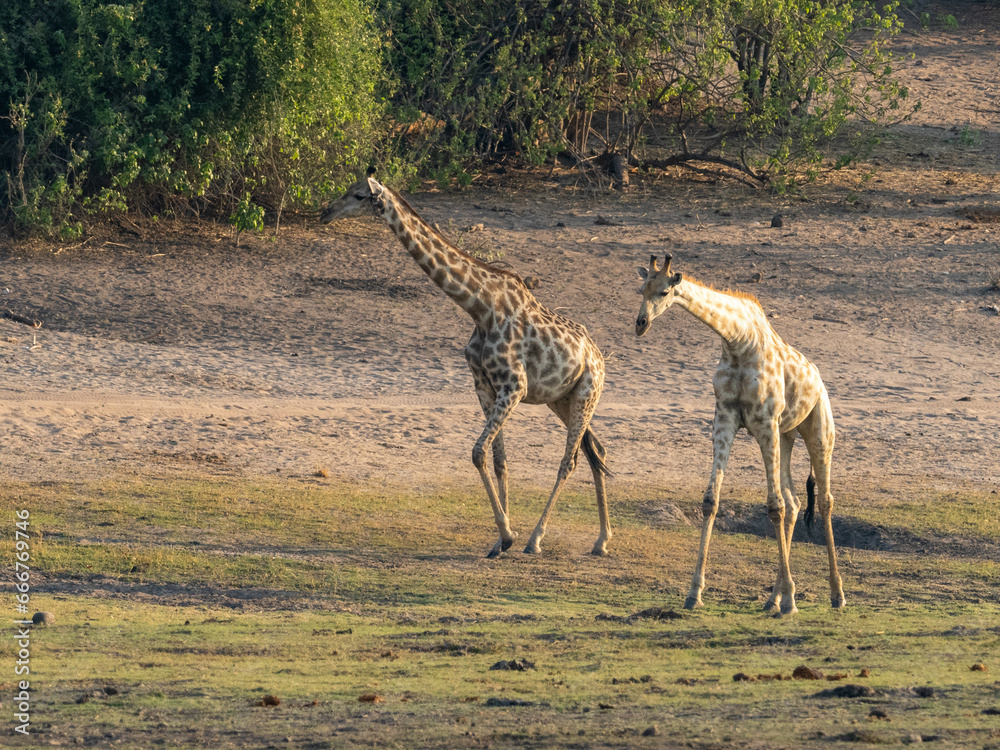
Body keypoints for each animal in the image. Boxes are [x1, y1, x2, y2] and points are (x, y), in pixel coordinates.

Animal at [321, 172, 612, 558]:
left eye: (357, 195)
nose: (324, 212)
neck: (481, 307)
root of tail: (598, 356)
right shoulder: (485, 386)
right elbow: (498, 459)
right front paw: (500, 540)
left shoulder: (514, 387)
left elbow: (477, 452)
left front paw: (509, 535)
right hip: (561, 399)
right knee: (596, 451)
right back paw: (602, 540)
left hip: (586, 394)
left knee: (571, 461)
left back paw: (537, 539)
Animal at [635, 253, 845, 614]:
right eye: (640, 288)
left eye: (664, 291)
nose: (641, 323)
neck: (737, 341)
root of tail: (818, 377)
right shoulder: (725, 419)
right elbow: (711, 500)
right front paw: (694, 592)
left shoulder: (764, 422)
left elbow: (773, 507)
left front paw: (791, 601)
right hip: (786, 436)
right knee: (794, 502)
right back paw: (773, 597)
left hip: (817, 431)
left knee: (823, 501)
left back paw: (835, 593)